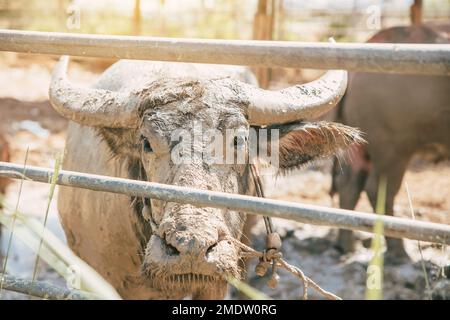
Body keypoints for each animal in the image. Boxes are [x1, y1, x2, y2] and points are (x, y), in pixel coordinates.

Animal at [326, 25, 450, 260]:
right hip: (394, 148)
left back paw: (346, 245)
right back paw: (398, 250)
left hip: (358, 146)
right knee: (379, 190)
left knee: (349, 185)